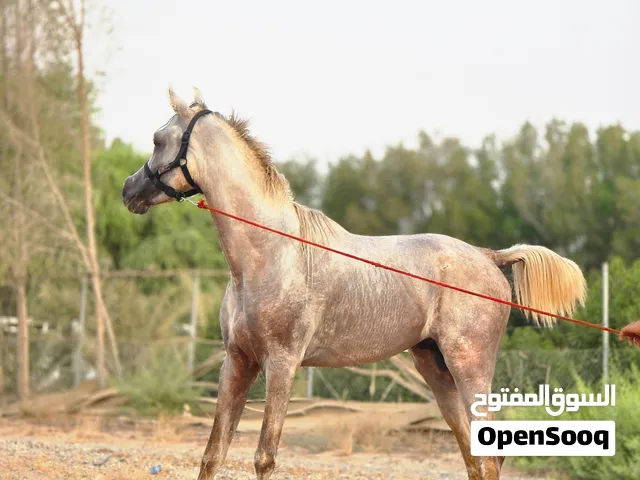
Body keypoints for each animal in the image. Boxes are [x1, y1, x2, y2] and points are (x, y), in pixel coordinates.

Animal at [122, 87, 587, 480]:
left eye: (158, 139)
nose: (129, 190)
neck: (269, 256)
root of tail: (489, 256)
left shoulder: (282, 365)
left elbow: (265, 456)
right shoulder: (237, 362)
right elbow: (213, 453)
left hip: (468, 366)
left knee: (487, 457)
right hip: (434, 367)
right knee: (475, 456)